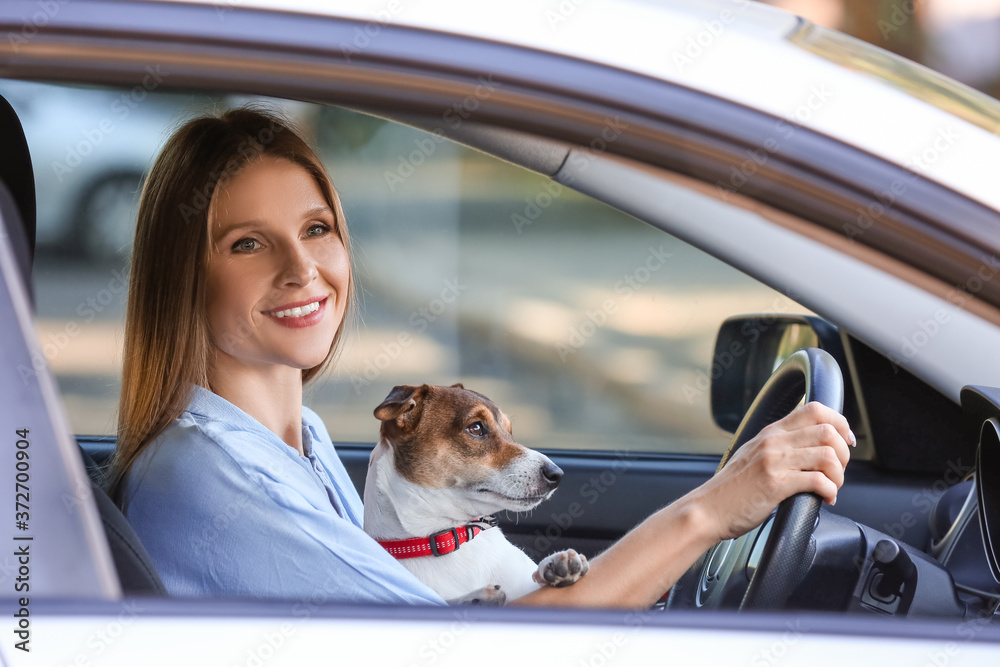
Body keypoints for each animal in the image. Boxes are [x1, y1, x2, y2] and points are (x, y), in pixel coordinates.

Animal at [366, 380, 584, 604]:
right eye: (476, 428)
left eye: (509, 430)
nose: (556, 475)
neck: (453, 537)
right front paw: (475, 598)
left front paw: (554, 565)